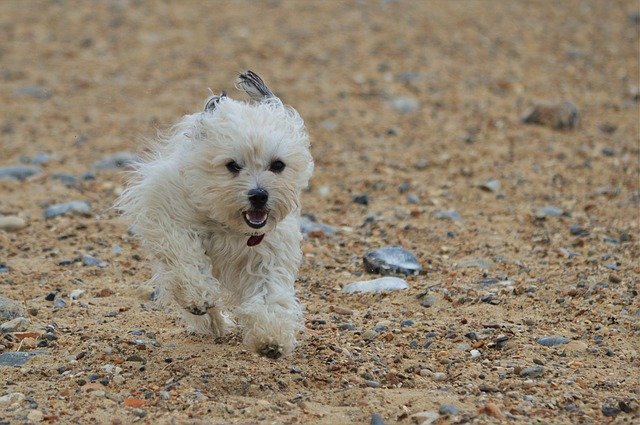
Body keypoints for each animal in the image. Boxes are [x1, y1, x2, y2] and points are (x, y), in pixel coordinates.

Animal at [117, 71, 316, 356]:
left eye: (278, 165)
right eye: (232, 165)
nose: (259, 195)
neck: (229, 224)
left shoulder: (269, 253)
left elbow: (269, 292)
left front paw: (271, 336)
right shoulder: (169, 215)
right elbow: (185, 257)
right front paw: (198, 296)